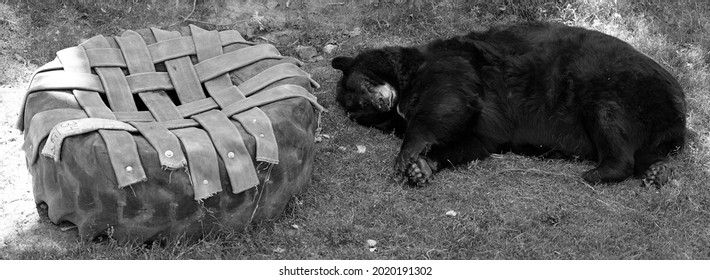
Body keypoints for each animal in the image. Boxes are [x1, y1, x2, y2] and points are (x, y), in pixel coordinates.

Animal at [334, 21, 688, 187]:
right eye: (360, 111)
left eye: (358, 88)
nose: (380, 104)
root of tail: (679, 107)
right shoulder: (487, 121)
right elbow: (478, 137)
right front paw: (423, 167)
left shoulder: (451, 64)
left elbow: (447, 103)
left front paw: (408, 155)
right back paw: (657, 171)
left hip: (623, 89)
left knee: (610, 122)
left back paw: (598, 172)